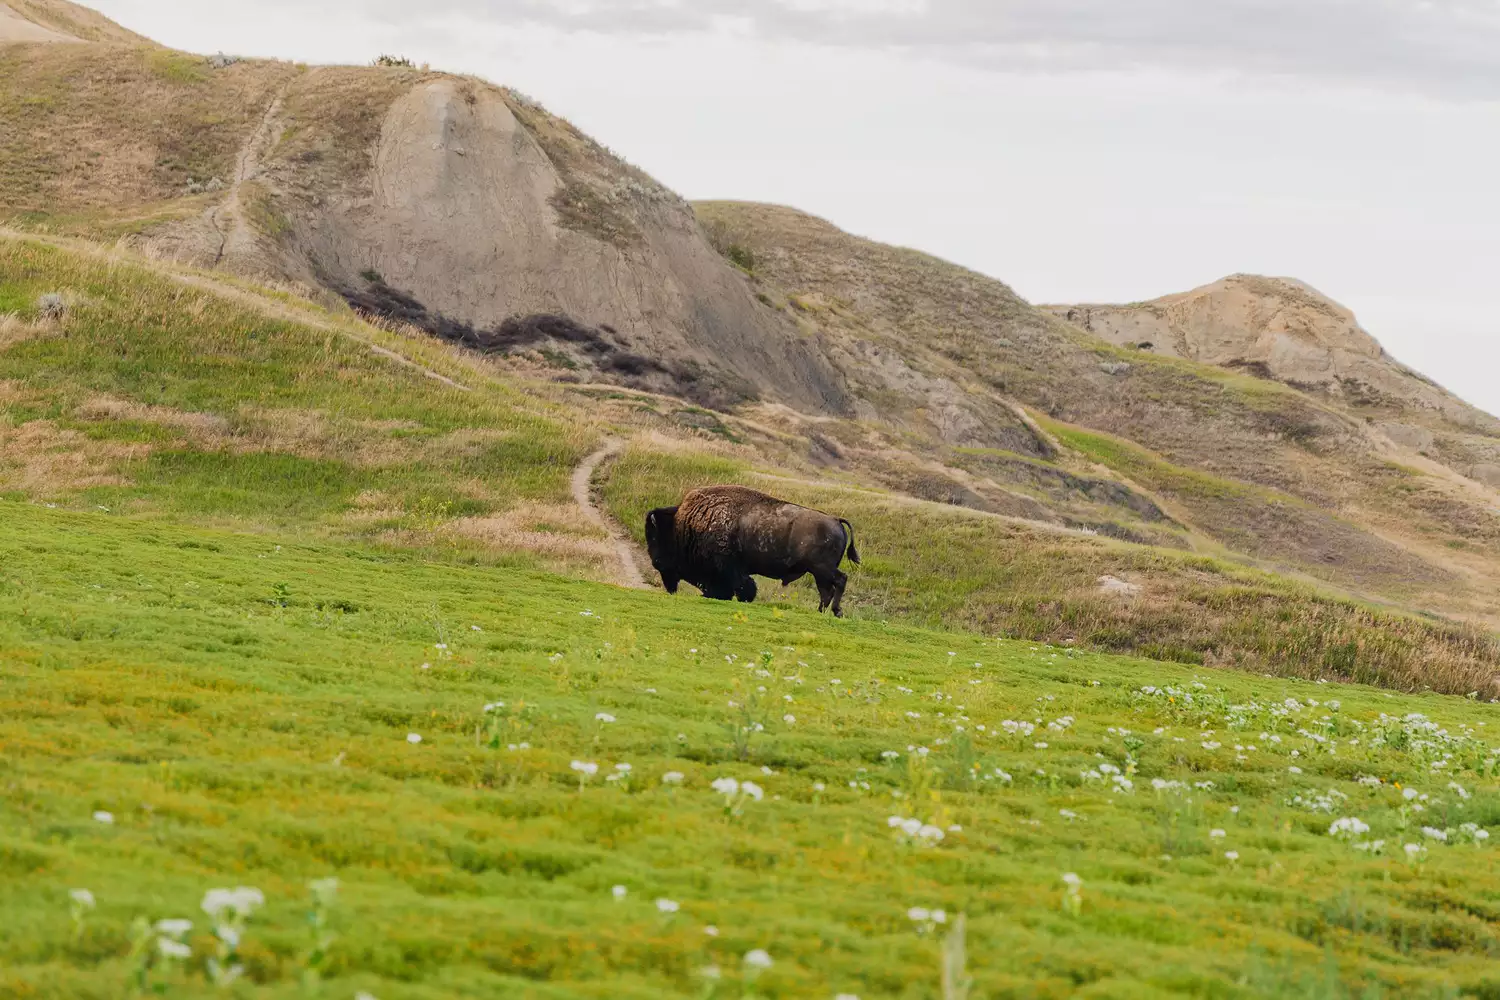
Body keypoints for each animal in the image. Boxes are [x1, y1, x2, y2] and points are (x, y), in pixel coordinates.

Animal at [644, 485, 861, 616]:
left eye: (655, 537)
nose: (656, 562)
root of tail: (835, 520)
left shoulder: (729, 569)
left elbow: (741, 586)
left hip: (822, 568)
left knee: (839, 581)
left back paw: (836, 611)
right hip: (818, 572)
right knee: (827, 590)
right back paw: (821, 611)